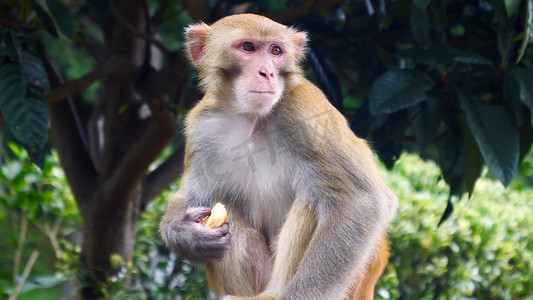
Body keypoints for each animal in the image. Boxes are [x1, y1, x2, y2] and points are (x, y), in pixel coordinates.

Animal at [158, 13, 394, 300]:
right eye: (248, 47)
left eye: (276, 51)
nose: (267, 73)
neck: (252, 117)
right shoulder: (201, 127)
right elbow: (189, 197)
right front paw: (185, 233)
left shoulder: (305, 112)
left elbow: (362, 201)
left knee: (314, 199)